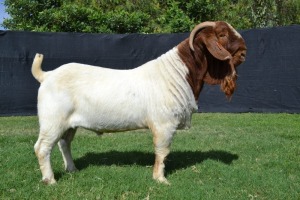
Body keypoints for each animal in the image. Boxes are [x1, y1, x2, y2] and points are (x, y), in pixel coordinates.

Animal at [31, 20, 246, 184]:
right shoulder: (164, 124)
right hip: (52, 121)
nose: (244, 51)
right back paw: (50, 180)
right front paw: (160, 179)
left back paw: (72, 169)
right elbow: (162, 151)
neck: (178, 73)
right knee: (42, 148)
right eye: (222, 34)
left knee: (64, 143)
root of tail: (46, 75)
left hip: (69, 124)